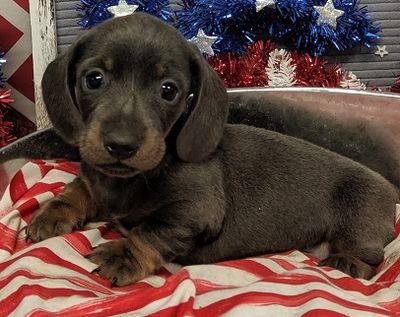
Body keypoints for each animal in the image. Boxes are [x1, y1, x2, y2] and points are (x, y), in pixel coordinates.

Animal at [26, 12, 398, 286]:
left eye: (169, 89)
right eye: (94, 78)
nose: (121, 144)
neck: (131, 179)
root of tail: (389, 189)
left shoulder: (194, 213)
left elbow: (151, 232)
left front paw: (122, 255)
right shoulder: (97, 182)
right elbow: (78, 190)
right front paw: (53, 214)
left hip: (359, 217)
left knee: (369, 258)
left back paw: (347, 262)